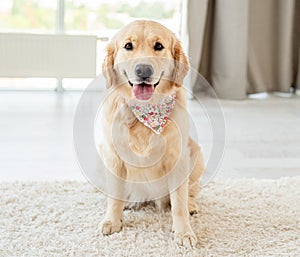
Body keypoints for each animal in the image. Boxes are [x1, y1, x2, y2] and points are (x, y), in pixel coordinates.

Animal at [99, 20, 205, 246]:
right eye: (128, 46)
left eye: (158, 46)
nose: (143, 69)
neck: (146, 112)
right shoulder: (113, 157)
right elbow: (114, 196)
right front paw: (112, 221)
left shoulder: (178, 158)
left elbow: (179, 202)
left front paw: (184, 232)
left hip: (196, 153)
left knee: (190, 191)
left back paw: (191, 205)